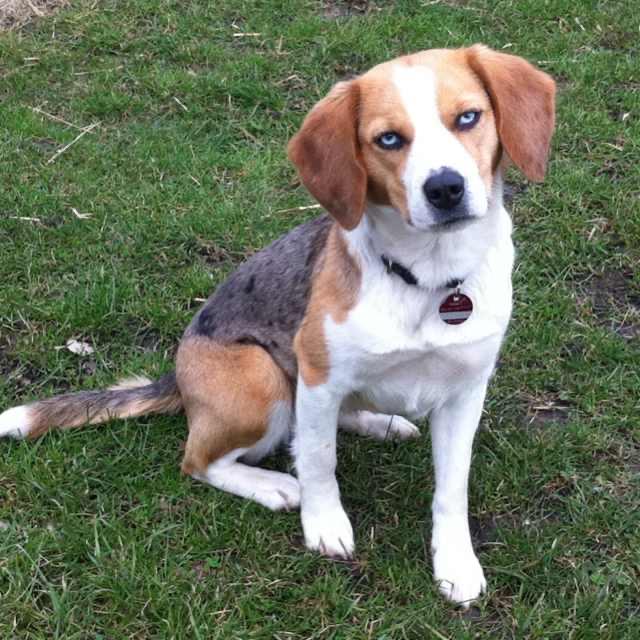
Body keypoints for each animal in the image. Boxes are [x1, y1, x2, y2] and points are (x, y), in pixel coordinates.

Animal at [0, 45, 555, 605]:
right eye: (388, 139)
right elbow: (319, 462)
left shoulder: (465, 392)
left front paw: (456, 561)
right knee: (202, 460)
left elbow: (451, 489)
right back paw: (273, 485)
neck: (430, 278)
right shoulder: (318, 376)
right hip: (261, 377)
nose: (445, 188)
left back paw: (381, 422)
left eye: (468, 117)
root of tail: (176, 374)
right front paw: (325, 523)